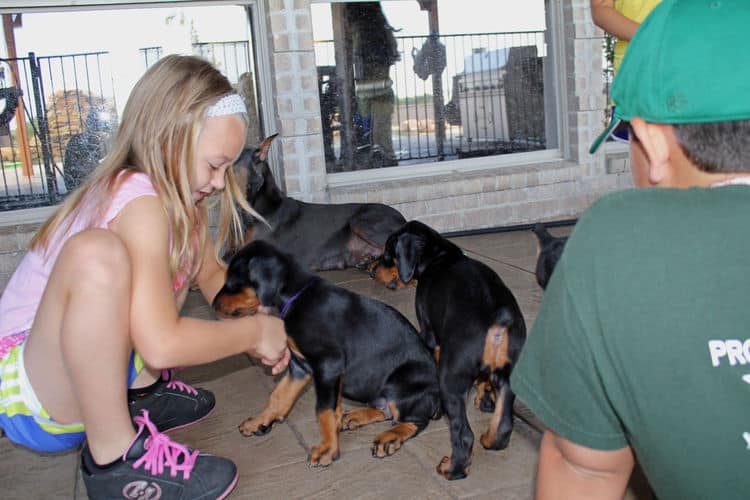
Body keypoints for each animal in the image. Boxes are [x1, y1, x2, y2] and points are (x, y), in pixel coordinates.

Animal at [213, 240, 440, 466]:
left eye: (232, 281)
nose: (213, 304)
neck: (297, 297)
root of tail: (437, 401)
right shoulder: (300, 367)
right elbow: (278, 395)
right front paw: (259, 421)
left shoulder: (328, 365)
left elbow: (323, 410)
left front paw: (328, 449)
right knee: (385, 411)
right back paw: (356, 416)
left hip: (402, 382)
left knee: (414, 421)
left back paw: (389, 437)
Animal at [384, 221, 524, 478]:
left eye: (389, 252)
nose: (371, 269)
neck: (440, 256)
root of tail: (498, 319)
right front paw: (485, 398)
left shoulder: (429, 333)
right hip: (509, 377)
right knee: (503, 426)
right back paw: (489, 438)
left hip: (450, 378)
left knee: (464, 435)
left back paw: (452, 468)